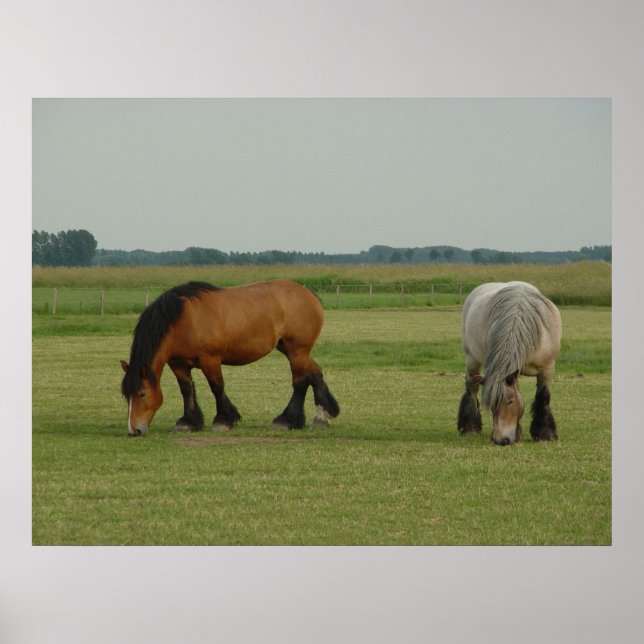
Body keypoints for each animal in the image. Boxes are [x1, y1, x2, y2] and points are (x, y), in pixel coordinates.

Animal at [120, 280, 340, 436]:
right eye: (126, 396)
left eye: (141, 393)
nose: (134, 430)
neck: (181, 320)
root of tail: (309, 295)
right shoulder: (178, 364)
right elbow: (186, 390)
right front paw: (188, 422)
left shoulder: (210, 360)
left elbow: (217, 387)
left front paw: (223, 420)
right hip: (291, 349)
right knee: (315, 374)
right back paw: (322, 416)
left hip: (297, 351)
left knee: (300, 383)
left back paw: (286, 420)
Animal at [457, 281, 561, 446]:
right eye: (492, 406)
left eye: (510, 402)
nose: (501, 440)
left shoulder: (547, 367)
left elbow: (543, 396)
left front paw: (545, 434)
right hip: (471, 358)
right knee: (471, 387)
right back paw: (470, 427)